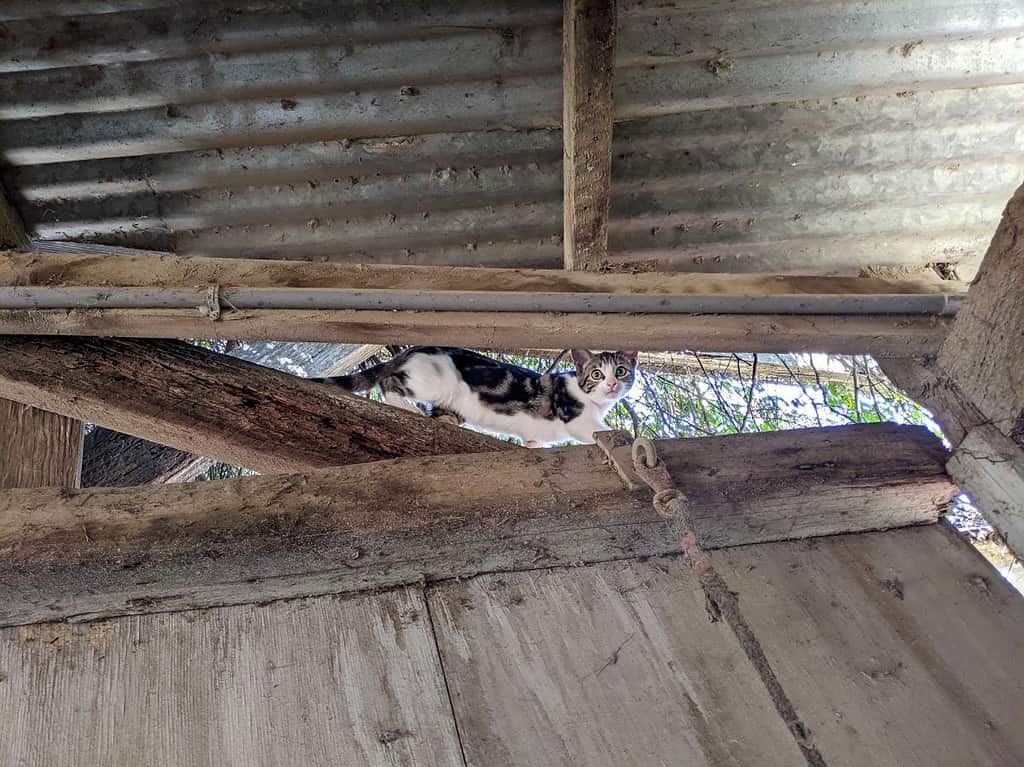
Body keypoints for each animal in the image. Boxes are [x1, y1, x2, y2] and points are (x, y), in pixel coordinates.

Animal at [311, 346, 634, 446]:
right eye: (596, 374)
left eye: (621, 371)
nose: (611, 385)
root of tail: (414, 349)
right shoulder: (576, 418)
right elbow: (599, 431)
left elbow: (533, 443)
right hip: (435, 380)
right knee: (388, 381)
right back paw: (410, 408)